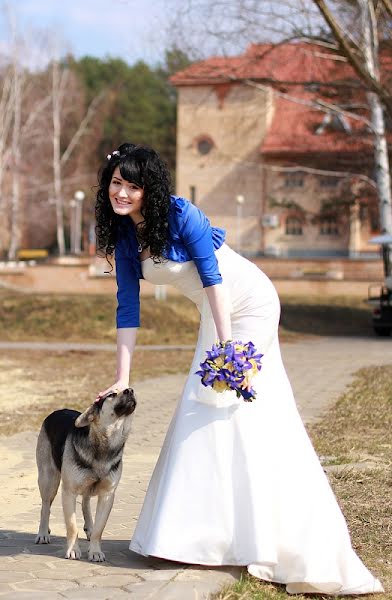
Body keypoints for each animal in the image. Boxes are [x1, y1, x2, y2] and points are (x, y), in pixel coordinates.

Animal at [34, 390, 138, 564]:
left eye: (129, 390)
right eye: (111, 395)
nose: (130, 390)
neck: (105, 444)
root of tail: (58, 411)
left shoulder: (107, 495)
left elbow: (99, 529)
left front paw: (95, 551)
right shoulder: (68, 492)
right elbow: (71, 526)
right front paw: (72, 550)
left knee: (85, 502)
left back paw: (89, 526)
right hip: (49, 480)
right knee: (45, 507)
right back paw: (42, 533)